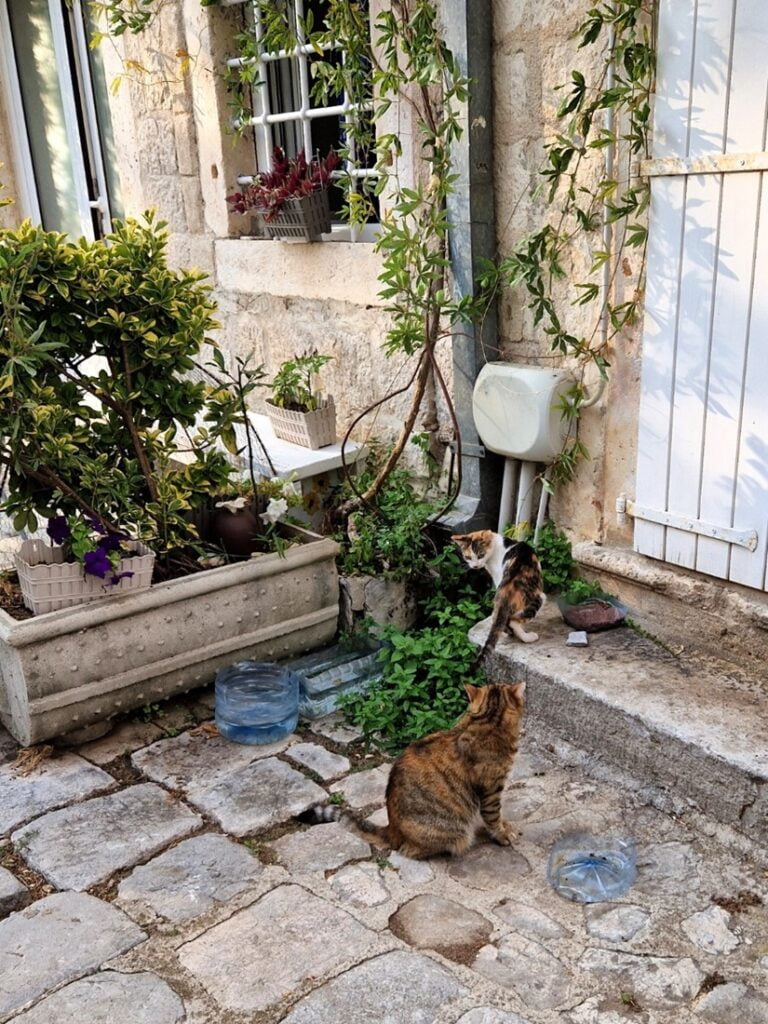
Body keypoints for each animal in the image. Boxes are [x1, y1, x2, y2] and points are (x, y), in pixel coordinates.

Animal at [311, 684, 524, 860]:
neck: (487, 719)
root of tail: (392, 829)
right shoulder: (491, 790)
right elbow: (493, 817)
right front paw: (503, 834)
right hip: (454, 831)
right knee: (413, 850)